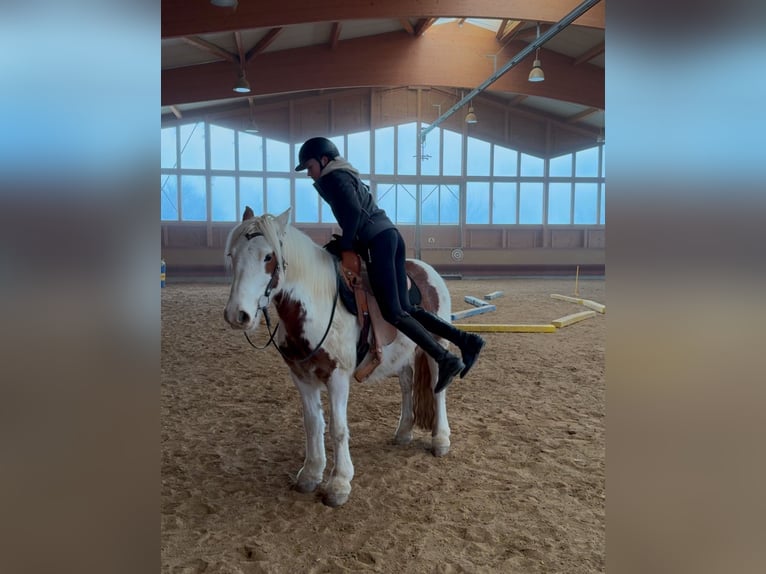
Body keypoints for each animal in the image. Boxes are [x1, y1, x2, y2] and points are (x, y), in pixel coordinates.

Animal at [224, 207, 456, 508]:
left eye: (268, 256)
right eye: (232, 255)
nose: (237, 315)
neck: (317, 303)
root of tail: (427, 270)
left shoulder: (337, 377)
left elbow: (337, 427)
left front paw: (339, 483)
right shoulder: (301, 375)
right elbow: (313, 423)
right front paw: (311, 474)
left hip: (434, 345)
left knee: (438, 388)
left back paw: (440, 439)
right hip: (402, 354)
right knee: (407, 385)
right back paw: (404, 432)